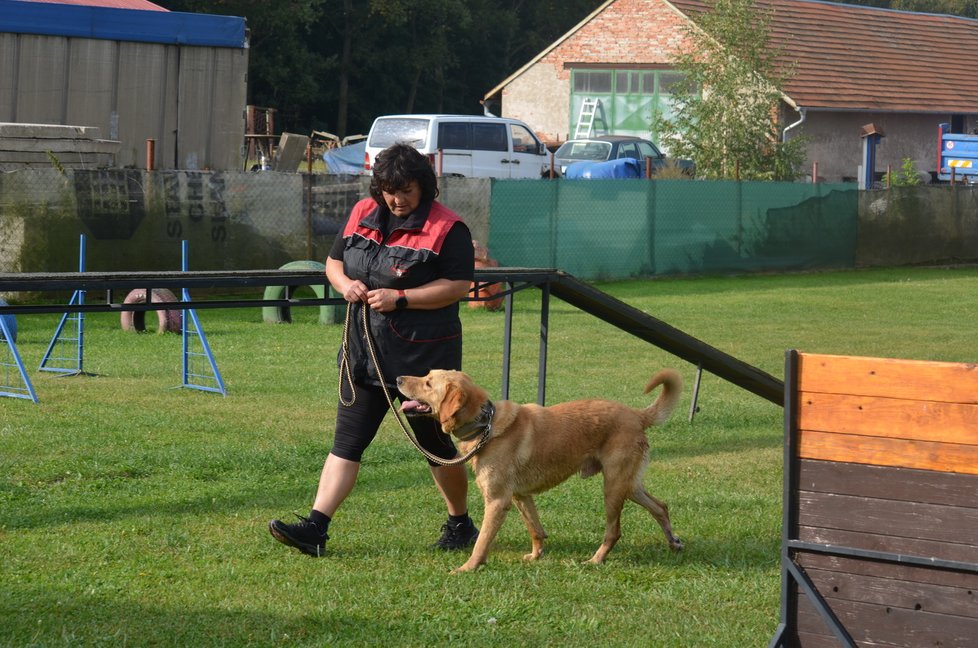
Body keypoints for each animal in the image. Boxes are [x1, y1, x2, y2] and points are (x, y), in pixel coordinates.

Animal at [392, 370, 684, 572]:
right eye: (426, 375)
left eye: (429, 383)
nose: (397, 378)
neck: (485, 426)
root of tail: (637, 415)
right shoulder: (521, 496)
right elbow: (535, 529)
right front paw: (535, 556)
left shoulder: (497, 501)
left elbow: (482, 541)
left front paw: (468, 568)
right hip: (628, 485)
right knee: (661, 506)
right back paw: (673, 543)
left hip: (612, 488)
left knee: (614, 532)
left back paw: (595, 560)